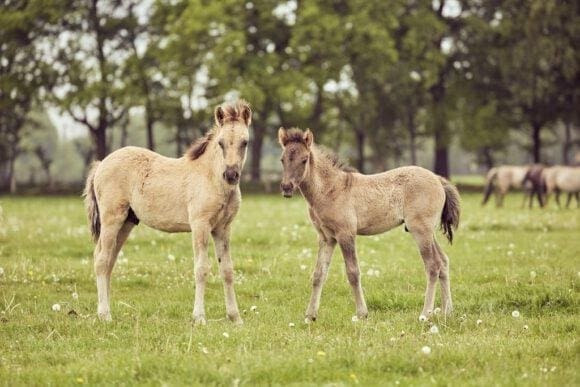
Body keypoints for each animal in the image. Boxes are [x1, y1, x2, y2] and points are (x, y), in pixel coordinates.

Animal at [278, 129, 460, 322]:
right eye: (282, 159)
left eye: (304, 160)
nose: (286, 187)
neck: (329, 189)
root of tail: (438, 179)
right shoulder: (326, 238)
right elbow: (319, 274)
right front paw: (310, 315)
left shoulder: (345, 234)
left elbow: (353, 272)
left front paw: (361, 313)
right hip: (428, 232)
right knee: (443, 262)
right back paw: (447, 311)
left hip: (421, 231)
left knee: (433, 265)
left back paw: (425, 313)